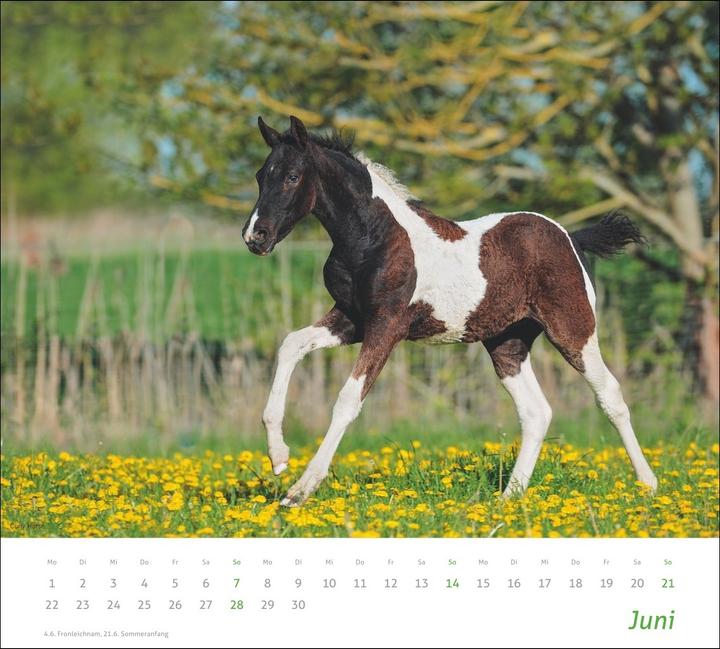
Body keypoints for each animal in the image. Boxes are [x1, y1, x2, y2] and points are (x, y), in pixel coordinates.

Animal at [242, 115, 658, 507]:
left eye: (293, 176)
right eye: (261, 176)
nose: (254, 237)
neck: (375, 238)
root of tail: (571, 236)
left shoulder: (386, 327)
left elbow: (348, 399)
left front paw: (299, 490)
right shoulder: (351, 319)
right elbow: (291, 344)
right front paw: (278, 457)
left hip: (573, 330)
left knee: (610, 395)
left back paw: (647, 484)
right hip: (507, 344)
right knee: (536, 412)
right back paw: (509, 498)